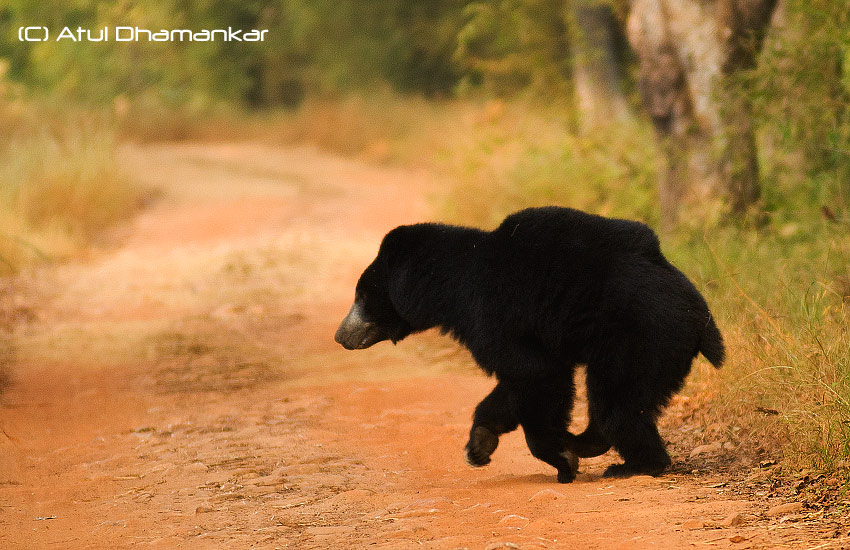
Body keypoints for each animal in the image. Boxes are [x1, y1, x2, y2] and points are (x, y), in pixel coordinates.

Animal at [335, 206, 724, 483]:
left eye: (362, 296)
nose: (341, 336)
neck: (451, 290)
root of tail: (701, 315)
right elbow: (515, 385)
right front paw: (479, 444)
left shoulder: (493, 315)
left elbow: (536, 376)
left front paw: (561, 458)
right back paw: (590, 442)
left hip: (641, 336)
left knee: (618, 399)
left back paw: (629, 462)